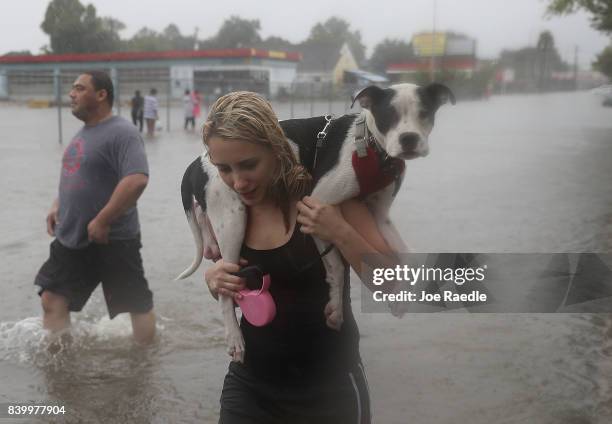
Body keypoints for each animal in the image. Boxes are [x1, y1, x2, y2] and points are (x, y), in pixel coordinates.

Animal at [177, 83, 454, 362]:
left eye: (425, 113)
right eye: (389, 115)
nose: (409, 139)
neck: (370, 148)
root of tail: (198, 161)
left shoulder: (380, 216)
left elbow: (410, 255)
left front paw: (399, 298)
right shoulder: (316, 204)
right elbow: (337, 267)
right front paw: (336, 307)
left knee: (203, 218)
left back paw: (210, 243)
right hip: (233, 219)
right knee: (226, 288)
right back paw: (235, 338)